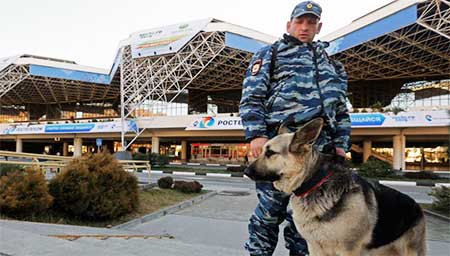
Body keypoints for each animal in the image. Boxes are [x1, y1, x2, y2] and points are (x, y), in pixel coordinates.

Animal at [246, 118, 426, 256]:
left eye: (270, 153)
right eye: (262, 150)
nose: (246, 171)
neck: (315, 181)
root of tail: (417, 206)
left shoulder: (348, 251)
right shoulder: (315, 248)